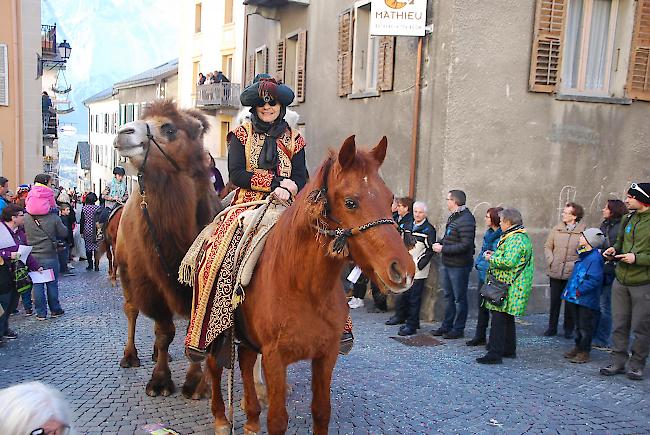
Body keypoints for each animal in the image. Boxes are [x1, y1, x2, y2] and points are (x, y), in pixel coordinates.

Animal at [113, 101, 218, 398]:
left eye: (169, 128)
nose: (123, 132)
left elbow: (194, 334)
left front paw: (195, 383)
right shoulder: (148, 282)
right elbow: (163, 331)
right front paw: (159, 381)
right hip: (124, 268)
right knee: (132, 310)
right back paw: (131, 356)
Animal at [205, 135, 412, 434]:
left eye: (390, 199)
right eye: (350, 202)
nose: (404, 270)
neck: (304, 288)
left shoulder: (325, 356)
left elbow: (321, 412)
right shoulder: (274, 359)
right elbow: (277, 420)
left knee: (244, 363)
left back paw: (252, 419)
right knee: (213, 365)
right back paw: (222, 419)